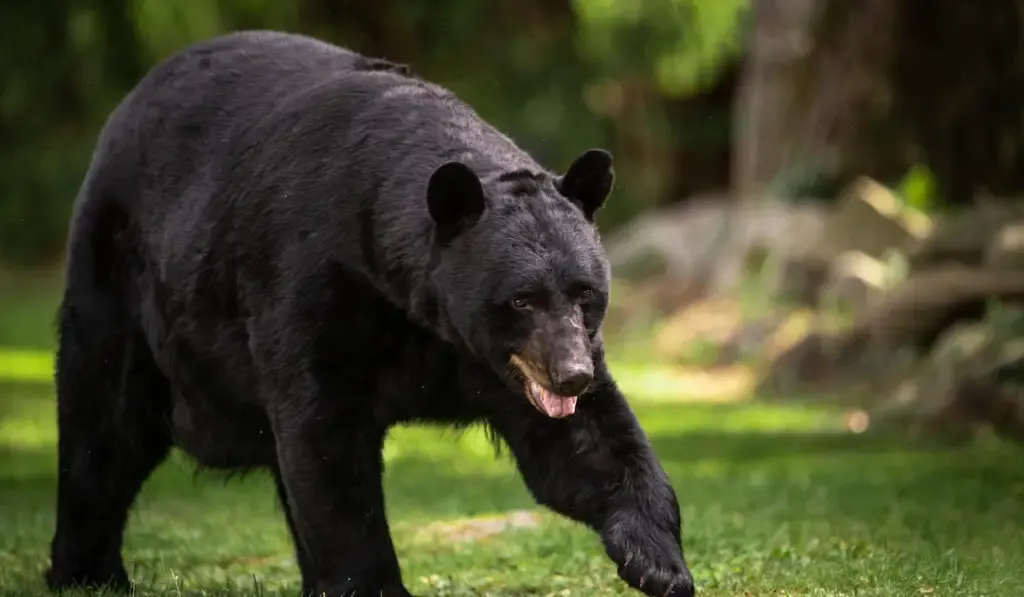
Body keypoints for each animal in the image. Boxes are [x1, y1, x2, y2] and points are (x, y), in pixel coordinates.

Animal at [49, 30, 696, 593]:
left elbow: (588, 444)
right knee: (103, 423)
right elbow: (327, 449)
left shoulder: (494, 360)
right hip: (119, 278)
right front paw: (373, 584)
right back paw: (86, 573)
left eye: (585, 292)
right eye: (520, 298)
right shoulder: (315, 290)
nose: (571, 376)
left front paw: (658, 563)